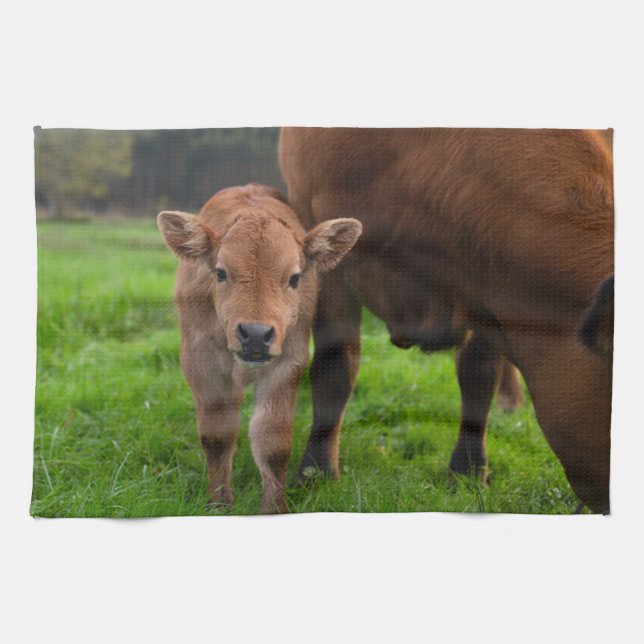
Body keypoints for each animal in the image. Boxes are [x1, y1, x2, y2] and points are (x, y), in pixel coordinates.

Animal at [157, 184, 362, 513]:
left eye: (294, 277)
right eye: (220, 273)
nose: (254, 334)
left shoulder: (287, 364)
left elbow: (272, 441)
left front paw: (274, 508)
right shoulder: (200, 364)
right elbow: (217, 435)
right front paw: (219, 504)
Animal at [279, 128, 614, 513]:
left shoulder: (483, 282)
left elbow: (478, 375)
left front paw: (468, 472)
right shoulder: (327, 248)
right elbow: (336, 368)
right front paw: (314, 474)